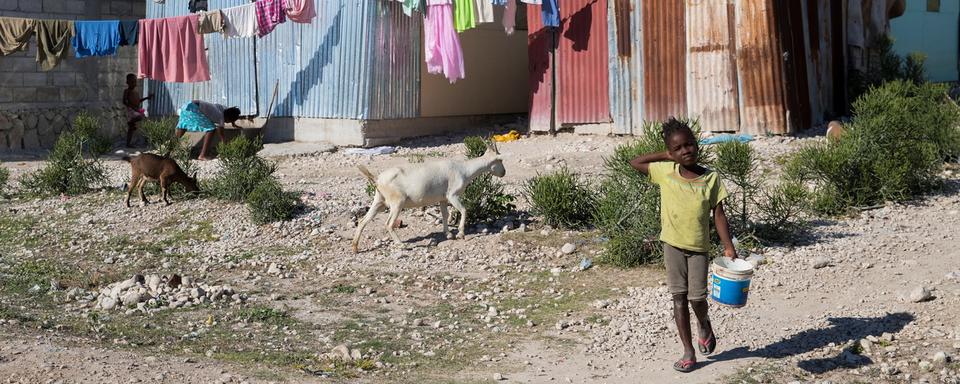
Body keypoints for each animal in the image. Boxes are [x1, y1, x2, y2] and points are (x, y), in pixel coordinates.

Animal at [350, 140, 502, 252]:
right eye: (500, 160)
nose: (503, 172)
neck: (463, 169)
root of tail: (377, 179)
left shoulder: (443, 199)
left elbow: (445, 215)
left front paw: (448, 234)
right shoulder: (452, 195)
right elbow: (464, 210)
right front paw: (460, 233)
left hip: (379, 201)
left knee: (363, 221)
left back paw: (355, 248)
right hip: (397, 203)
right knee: (388, 224)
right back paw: (401, 244)